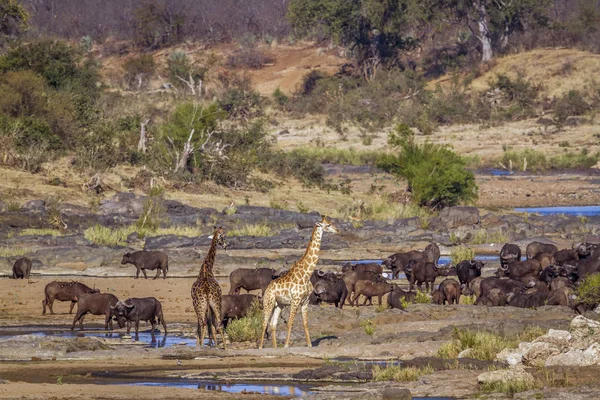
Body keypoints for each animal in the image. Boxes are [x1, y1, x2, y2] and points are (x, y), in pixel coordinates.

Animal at [258, 214, 340, 348]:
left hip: (279, 304)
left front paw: (309, 344)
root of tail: (268, 288)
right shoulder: (295, 300)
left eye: (332, 223)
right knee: (264, 323)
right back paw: (260, 347)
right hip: (268, 302)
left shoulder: (305, 301)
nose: (338, 231)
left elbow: (305, 323)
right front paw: (286, 345)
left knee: (273, 324)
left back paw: (275, 347)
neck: (306, 274)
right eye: (328, 225)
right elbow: (290, 323)